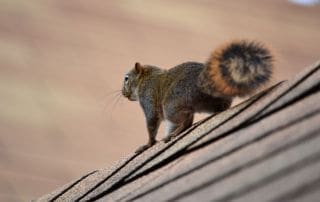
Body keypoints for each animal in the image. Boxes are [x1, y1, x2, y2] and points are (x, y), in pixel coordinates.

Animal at [122, 39, 272, 153]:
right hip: (206, 104)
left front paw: (148, 145)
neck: (145, 78)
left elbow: (152, 123)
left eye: (126, 78)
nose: (123, 93)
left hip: (171, 104)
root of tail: (206, 84)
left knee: (187, 119)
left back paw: (177, 132)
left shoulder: (148, 98)